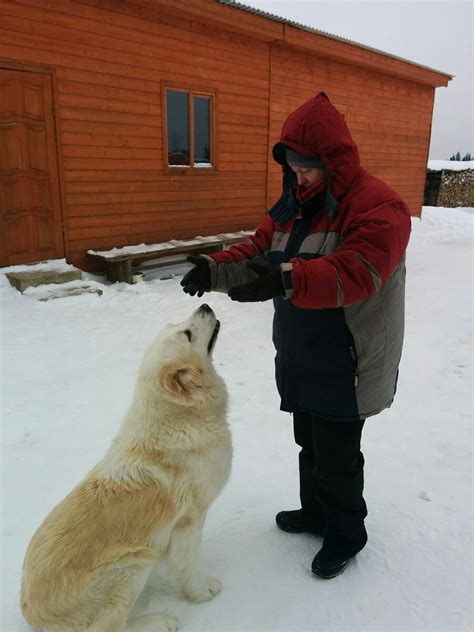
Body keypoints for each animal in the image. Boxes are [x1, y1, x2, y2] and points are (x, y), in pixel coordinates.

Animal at [21, 304, 232, 628]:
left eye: (178, 325)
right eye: (187, 333)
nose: (205, 305)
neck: (179, 416)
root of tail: (33, 615)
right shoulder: (190, 520)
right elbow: (189, 563)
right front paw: (202, 592)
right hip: (132, 566)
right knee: (111, 627)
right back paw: (160, 621)